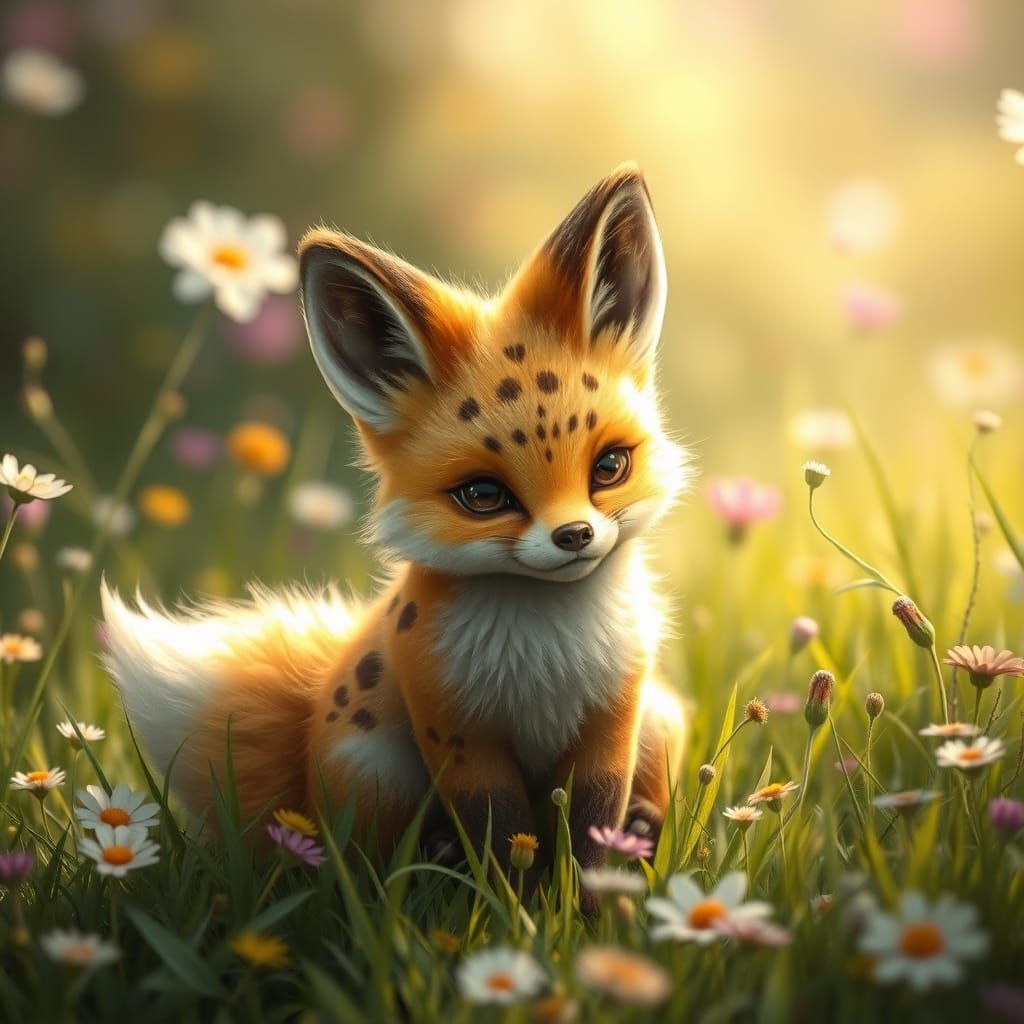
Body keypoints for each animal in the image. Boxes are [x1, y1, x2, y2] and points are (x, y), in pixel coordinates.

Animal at [101, 163, 691, 895]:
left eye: (609, 467)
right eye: (484, 495)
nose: (575, 535)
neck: (547, 653)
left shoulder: (615, 716)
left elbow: (591, 835)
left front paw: (590, 906)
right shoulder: (457, 732)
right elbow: (506, 834)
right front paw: (518, 908)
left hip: (661, 721)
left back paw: (639, 830)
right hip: (374, 767)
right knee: (362, 864)